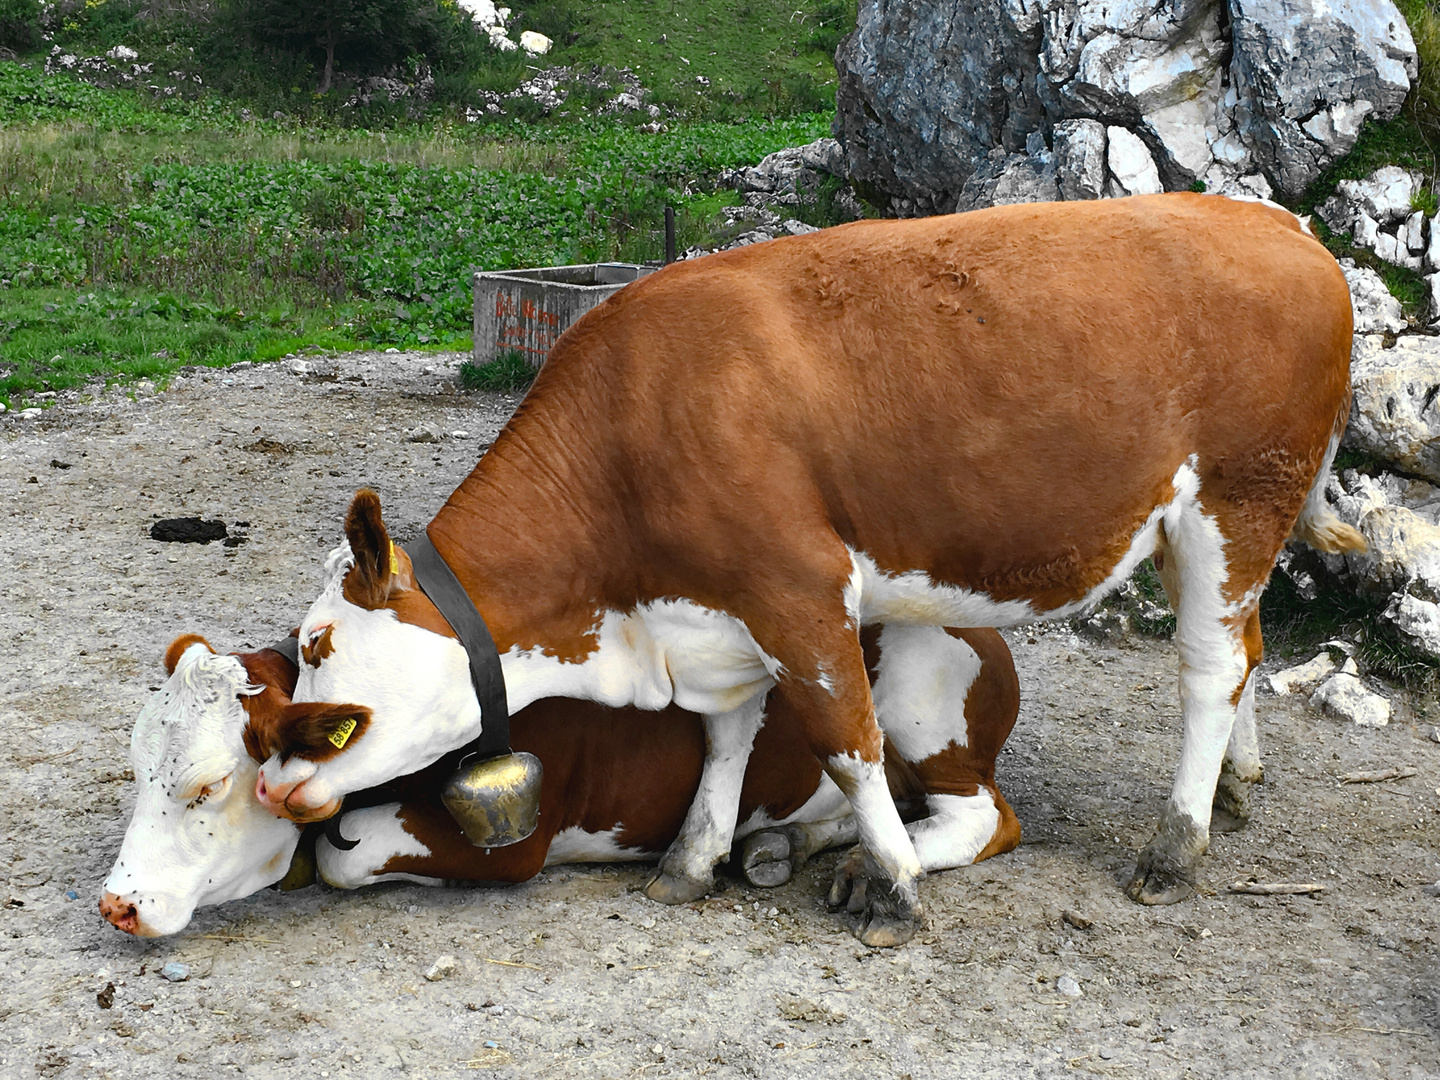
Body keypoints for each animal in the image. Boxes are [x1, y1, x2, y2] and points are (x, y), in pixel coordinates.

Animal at [101, 624, 1019, 938]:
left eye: (207, 787)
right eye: (140, 770)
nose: (117, 904)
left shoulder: (518, 846)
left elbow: (339, 857)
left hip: (922, 702)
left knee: (983, 818)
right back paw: (780, 843)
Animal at [259, 194, 1359, 944]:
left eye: (315, 644)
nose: (271, 787)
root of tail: (1274, 219)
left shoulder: (796, 586)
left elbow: (847, 743)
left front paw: (899, 891)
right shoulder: (717, 613)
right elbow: (726, 742)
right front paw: (695, 859)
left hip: (1239, 498)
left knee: (1209, 667)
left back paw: (1174, 845)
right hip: (1193, 528)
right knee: (1246, 644)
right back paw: (1235, 786)